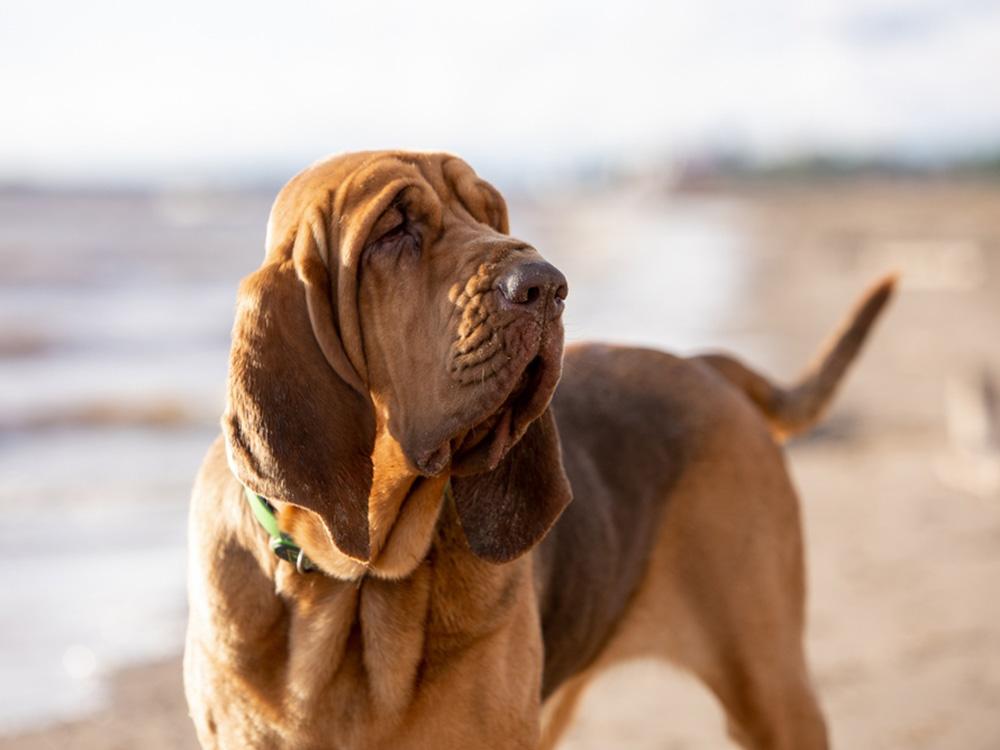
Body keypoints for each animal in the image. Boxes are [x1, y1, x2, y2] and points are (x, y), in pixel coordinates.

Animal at [184, 150, 896, 748]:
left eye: (491, 215)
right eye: (393, 228)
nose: (547, 285)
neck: (351, 581)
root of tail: (705, 363)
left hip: (771, 687)